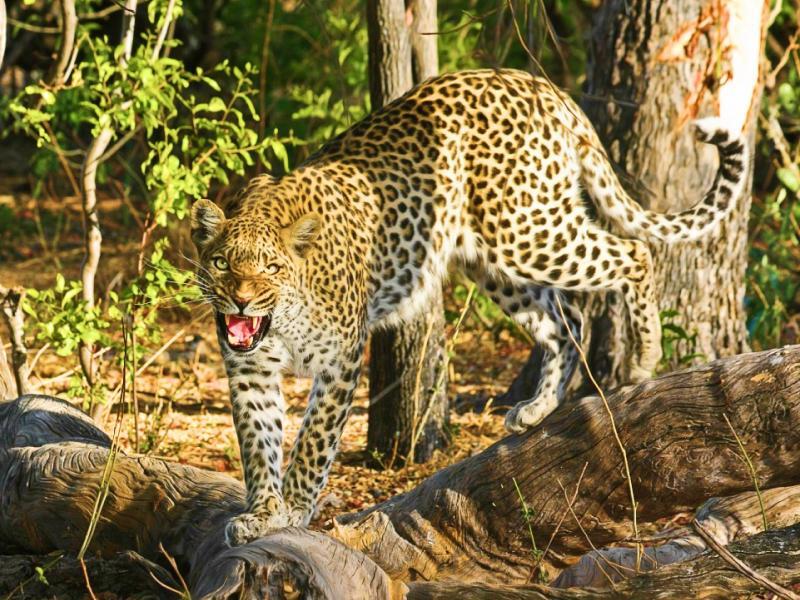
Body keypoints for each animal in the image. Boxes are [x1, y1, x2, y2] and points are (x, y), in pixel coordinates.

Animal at [190, 68, 746, 545]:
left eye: (270, 268)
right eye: (221, 264)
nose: (241, 299)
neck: (280, 320)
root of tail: (540, 85)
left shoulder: (341, 360)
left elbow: (311, 444)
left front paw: (293, 509)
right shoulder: (249, 371)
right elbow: (258, 445)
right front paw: (262, 513)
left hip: (527, 230)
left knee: (633, 253)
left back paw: (643, 357)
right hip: (494, 262)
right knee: (567, 320)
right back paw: (538, 408)